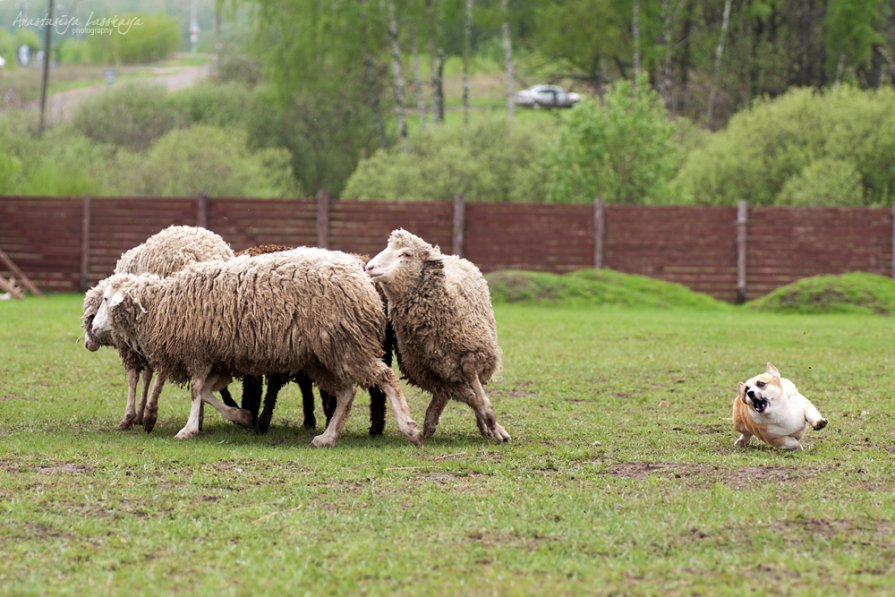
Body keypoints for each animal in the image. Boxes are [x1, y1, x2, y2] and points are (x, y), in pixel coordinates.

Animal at [82, 225, 234, 428]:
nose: (87, 343)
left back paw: (151, 412)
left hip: (166, 324)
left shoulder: (134, 341)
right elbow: (147, 374)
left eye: (90, 316)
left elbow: (134, 377)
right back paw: (198, 417)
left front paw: (130, 417)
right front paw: (138, 413)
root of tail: (196, 253)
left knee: (163, 370)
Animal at [91, 247, 424, 448]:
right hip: (324, 355)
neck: (162, 304)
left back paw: (410, 429)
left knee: (385, 378)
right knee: (346, 392)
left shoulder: (197, 352)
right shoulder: (218, 360)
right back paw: (327, 436)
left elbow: (197, 391)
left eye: (107, 299)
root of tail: (364, 281)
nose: (93, 329)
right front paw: (242, 417)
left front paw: (189, 429)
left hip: (347, 343)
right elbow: (209, 392)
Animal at [366, 229, 512, 442]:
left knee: (478, 384)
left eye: (406, 254)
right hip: (439, 370)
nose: (369, 267)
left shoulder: (473, 352)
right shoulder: (430, 371)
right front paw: (492, 424)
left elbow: (475, 387)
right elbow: (472, 398)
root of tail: (454, 256)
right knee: (445, 393)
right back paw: (431, 421)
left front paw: (493, 424)